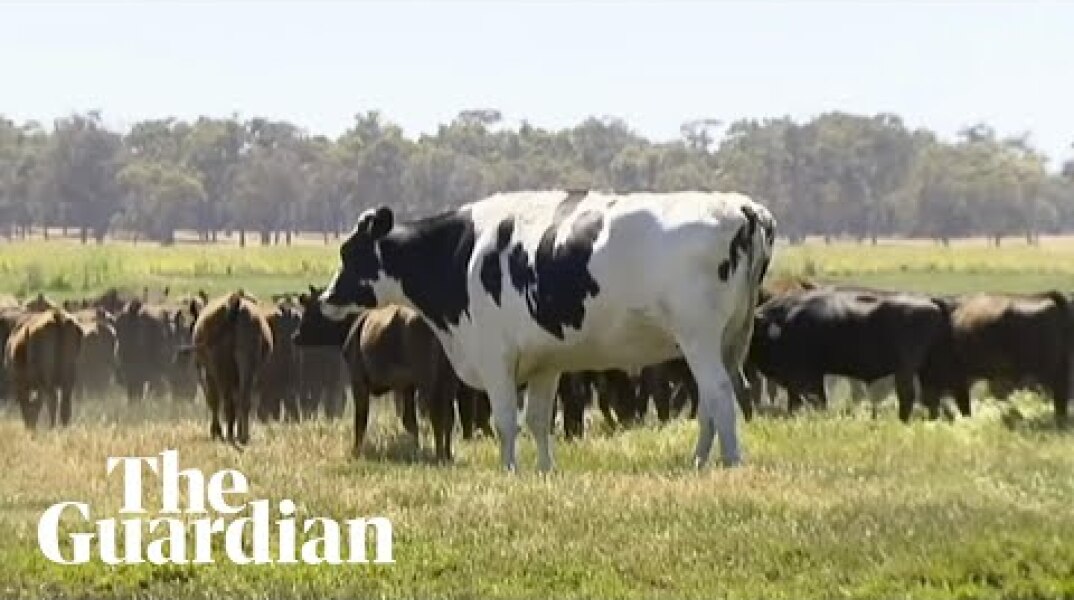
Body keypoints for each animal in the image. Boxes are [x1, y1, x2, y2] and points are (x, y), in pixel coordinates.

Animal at [187, 291, 273, 444]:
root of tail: (235, 303)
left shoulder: (208, 372)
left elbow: (213, 399)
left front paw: (216, 431)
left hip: (221, 369)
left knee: (226, 401)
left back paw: (228, 434)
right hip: (248, 363)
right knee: (244, 398)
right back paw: (243, 436)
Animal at [317, 189, 776, 471]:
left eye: (349, 251)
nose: (325, 297)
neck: (462, 254)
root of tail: (741, 207)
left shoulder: (494, 356)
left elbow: (506, 420)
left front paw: (509, 471)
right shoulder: (546, 363)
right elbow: (538, 419)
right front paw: (544, 471)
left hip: (698, 337)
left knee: (720, 395)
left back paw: (730, 463)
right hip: (723, 341)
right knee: (712, 400)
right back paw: (699, 461)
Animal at [748, 286, 950, 422]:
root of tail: (931, 302)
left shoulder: (806, 377)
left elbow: (815, 401)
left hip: (906, 370)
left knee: (908, 396)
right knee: (931, 397)